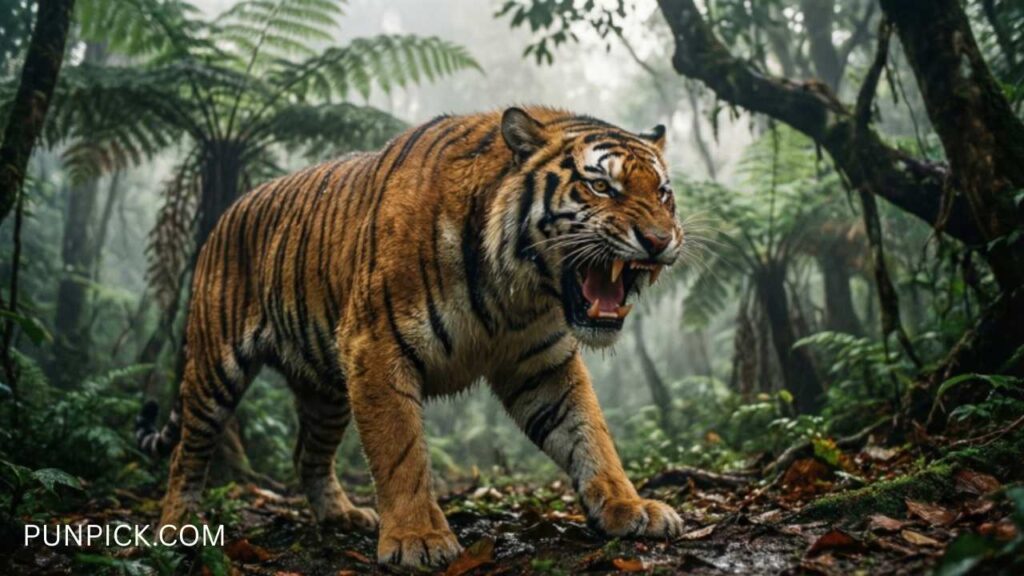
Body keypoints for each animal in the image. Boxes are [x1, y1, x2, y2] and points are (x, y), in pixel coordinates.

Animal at [136, 106, 686, 567]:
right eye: (603, 187)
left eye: (663, 194)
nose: (660, 241)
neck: (517, 291)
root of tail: (226, 212)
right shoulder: (376, 348)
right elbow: (400, 452)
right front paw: (417, 538)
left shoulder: (542, 363)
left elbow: (590, 433)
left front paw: (629, 506)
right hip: (214, 367)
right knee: (188, 451)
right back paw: (177, 526)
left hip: (325, 391)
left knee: (306, 455)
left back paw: (341, 515)